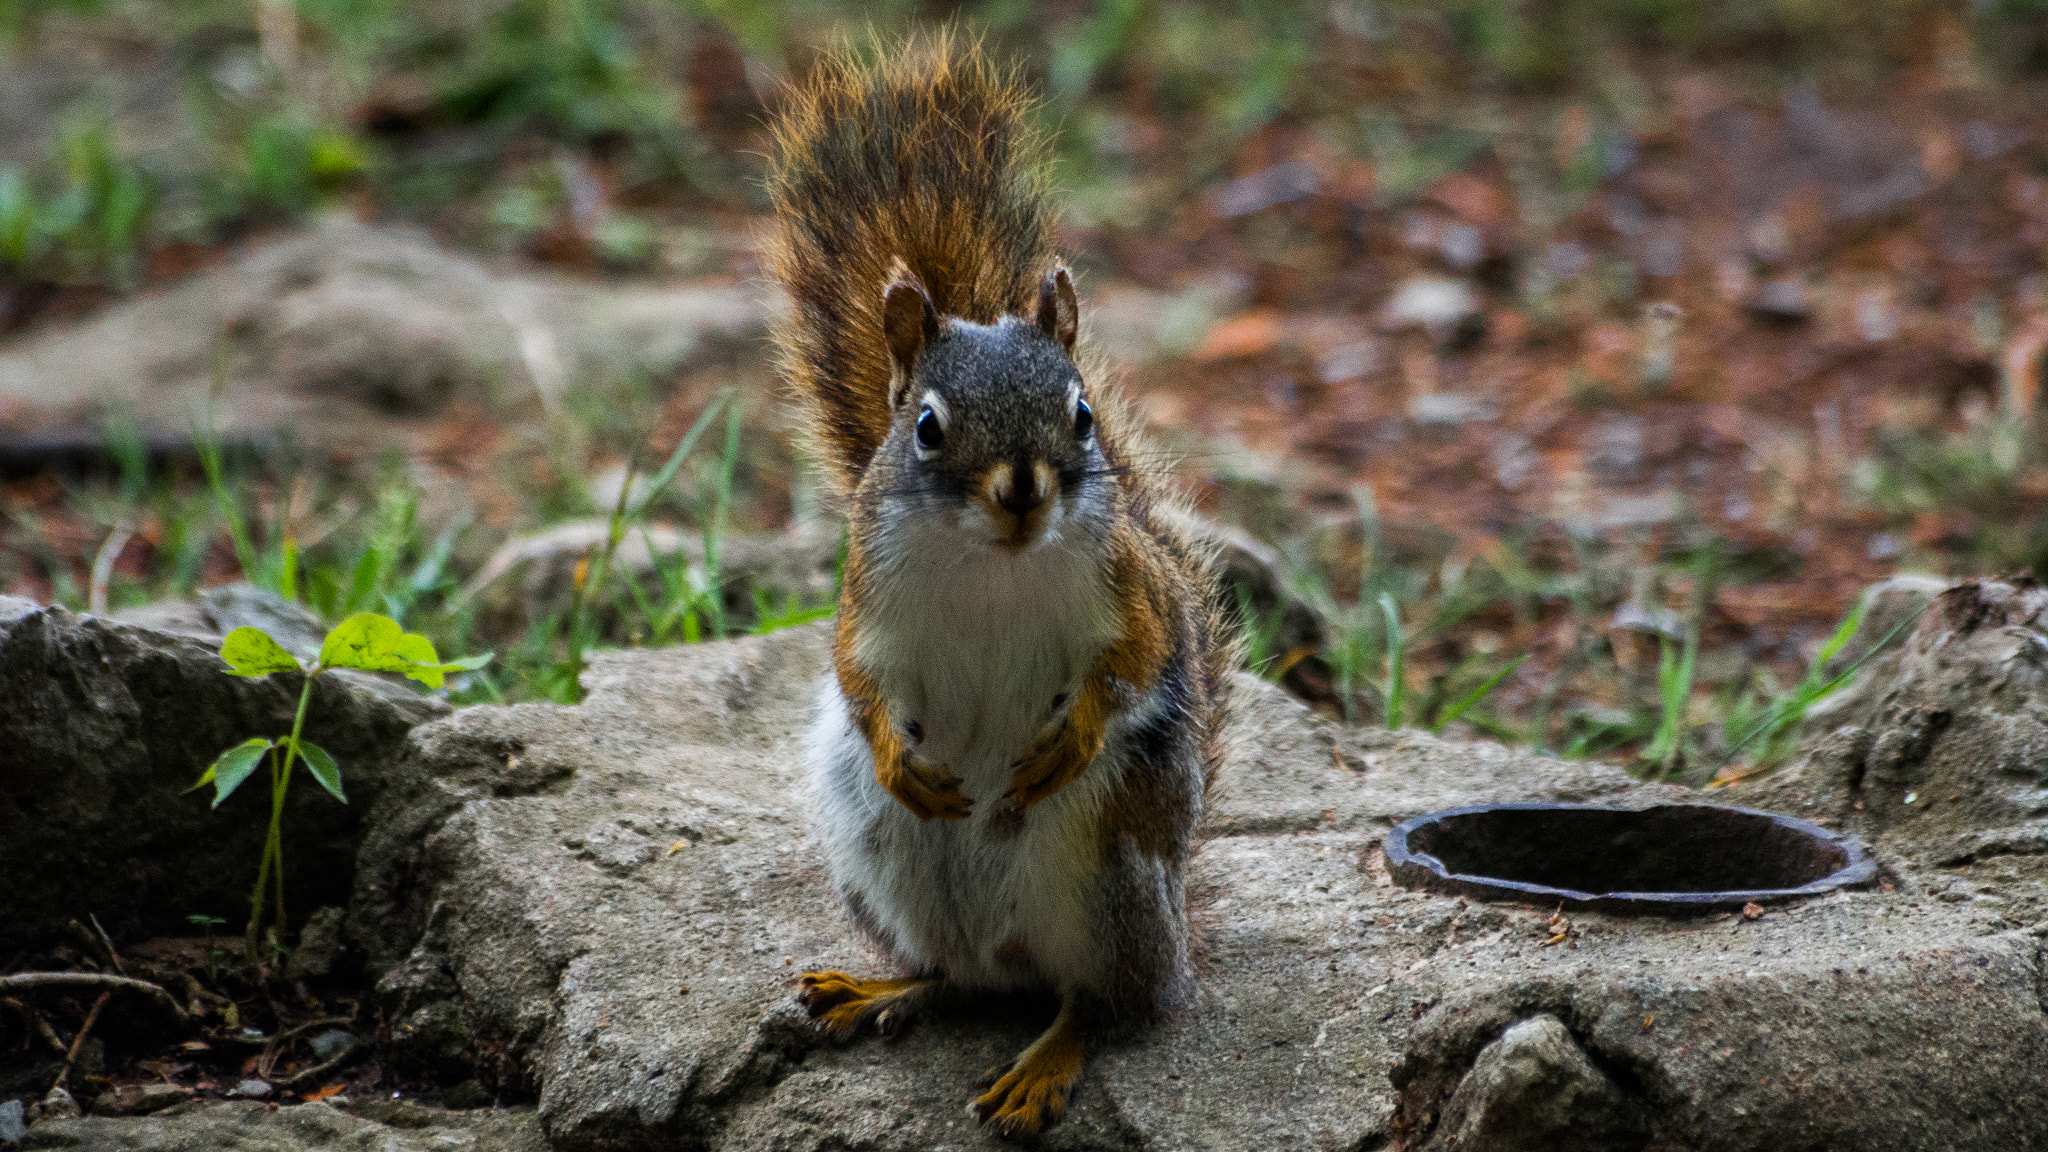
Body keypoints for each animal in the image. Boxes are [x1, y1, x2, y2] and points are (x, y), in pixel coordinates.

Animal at [767, 33, 1234, 1139]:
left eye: (1080, 413)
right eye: (928, 427)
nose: (1022, 491)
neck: (992, 562)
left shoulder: (1132, 592)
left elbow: (1140, 660)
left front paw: (1070, 734)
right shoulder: (866, 605)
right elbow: (858, 679)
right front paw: (903, 754)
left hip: (1113, 879)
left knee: (1103, 1003)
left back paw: (1046, 1059)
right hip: (873, 858)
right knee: (953, 976)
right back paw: (877, 989)